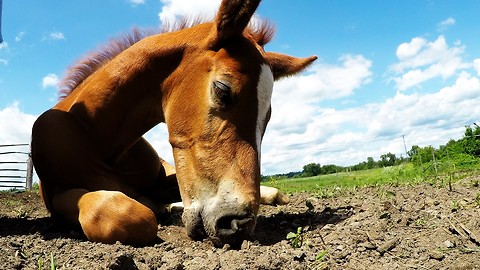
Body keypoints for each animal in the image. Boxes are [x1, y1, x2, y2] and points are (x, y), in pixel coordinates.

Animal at [30, 0, 316, 246]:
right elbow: (124, 213)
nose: (238, 224)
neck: (95, 137)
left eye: (267, 117)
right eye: (223, 90)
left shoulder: (163, 179)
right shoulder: (57, 197)